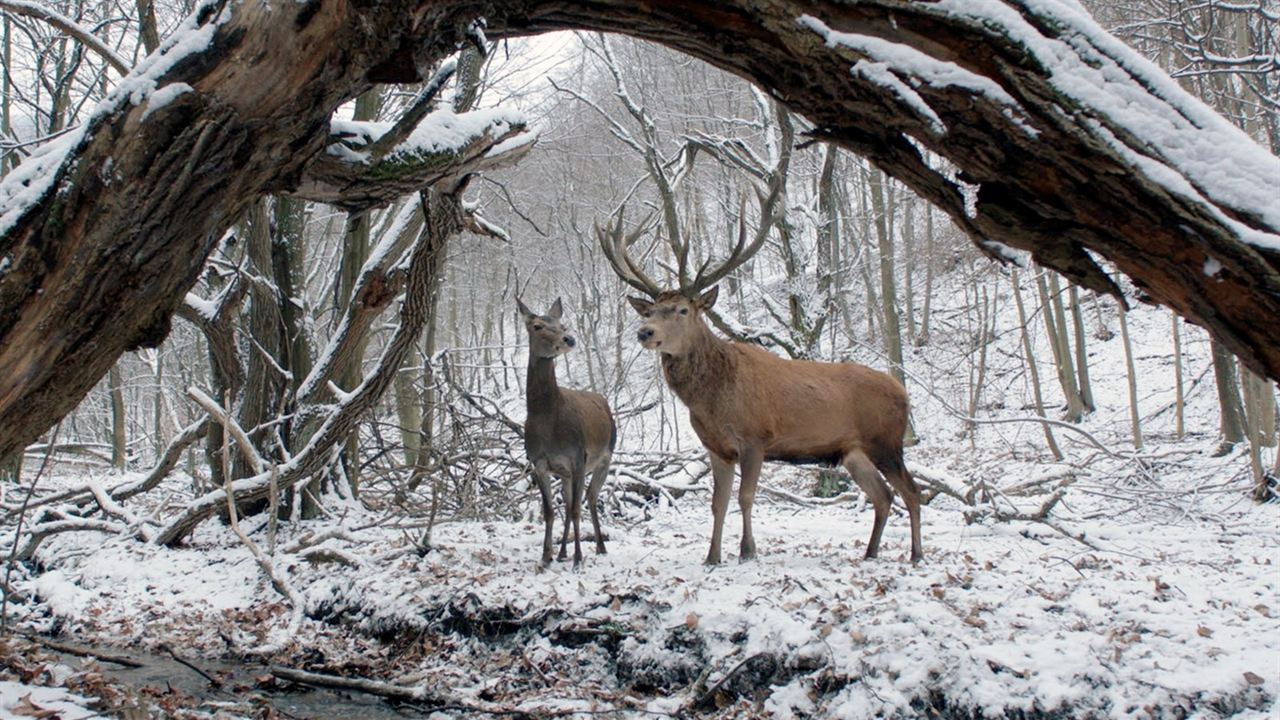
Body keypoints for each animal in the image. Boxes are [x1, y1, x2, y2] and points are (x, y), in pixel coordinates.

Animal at [514, 294, 614, 563]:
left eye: (562, 325)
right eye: (537, 326)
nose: (568, 339)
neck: (547, 420)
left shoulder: (578, 457)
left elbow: (577, 509)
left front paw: (578, 558)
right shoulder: (538, 462)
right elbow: (550, 511)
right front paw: (546, 556)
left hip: (605, 456)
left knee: (590, 499)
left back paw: (600, 547)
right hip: (566, 472)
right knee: (570, 505)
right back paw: (562, 553)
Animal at [599, 199, 921, 561]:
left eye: (683, 310)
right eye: (650, 311)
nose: (645, 332)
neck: (712, 401)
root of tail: (903, 391)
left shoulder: (755, 437)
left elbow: (745, 497)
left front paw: (747, 551)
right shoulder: (716, 448)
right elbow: (718, 503)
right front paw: (712, 557)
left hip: (887, 441)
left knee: (912, 491)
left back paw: (916, 554)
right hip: (853, 452)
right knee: (883, 495)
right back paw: (870, 552)